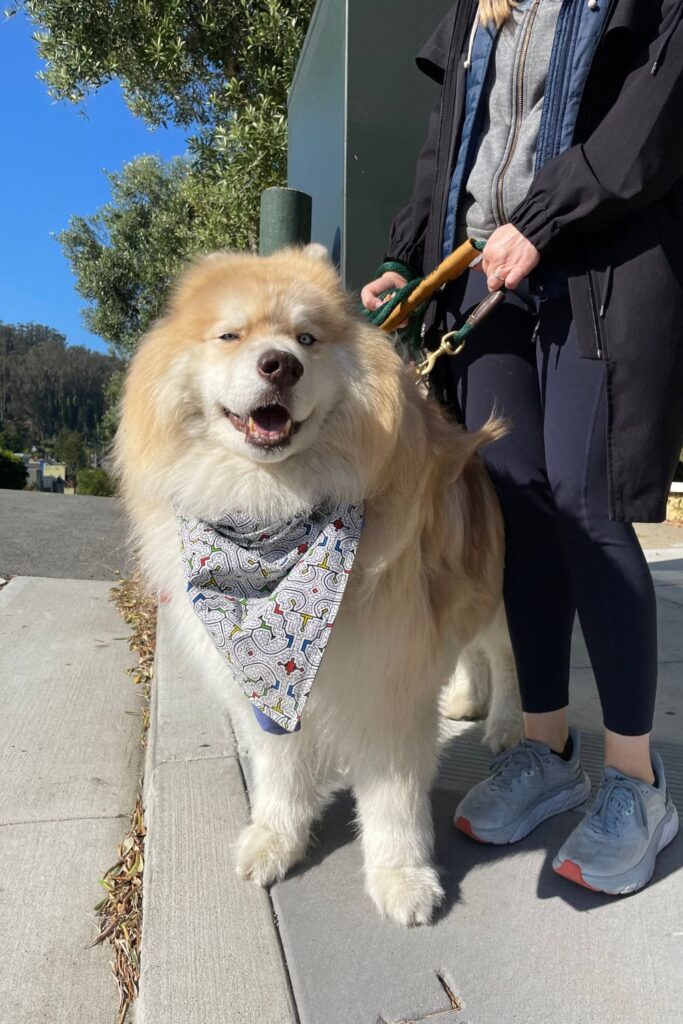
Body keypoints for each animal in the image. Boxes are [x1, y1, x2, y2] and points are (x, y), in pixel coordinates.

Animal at [116, 243, 524, 925]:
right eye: (230, 335)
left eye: (306, 338)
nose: (280, 364)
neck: (274, 513)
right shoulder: (269, 684)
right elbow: (280, 772)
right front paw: (275, 841)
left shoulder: (388, 677)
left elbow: (393, 798)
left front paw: (401, 877)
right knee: (469, 654)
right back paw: (466, 701)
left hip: (493, 598)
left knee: (506, 656)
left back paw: (506, 726)